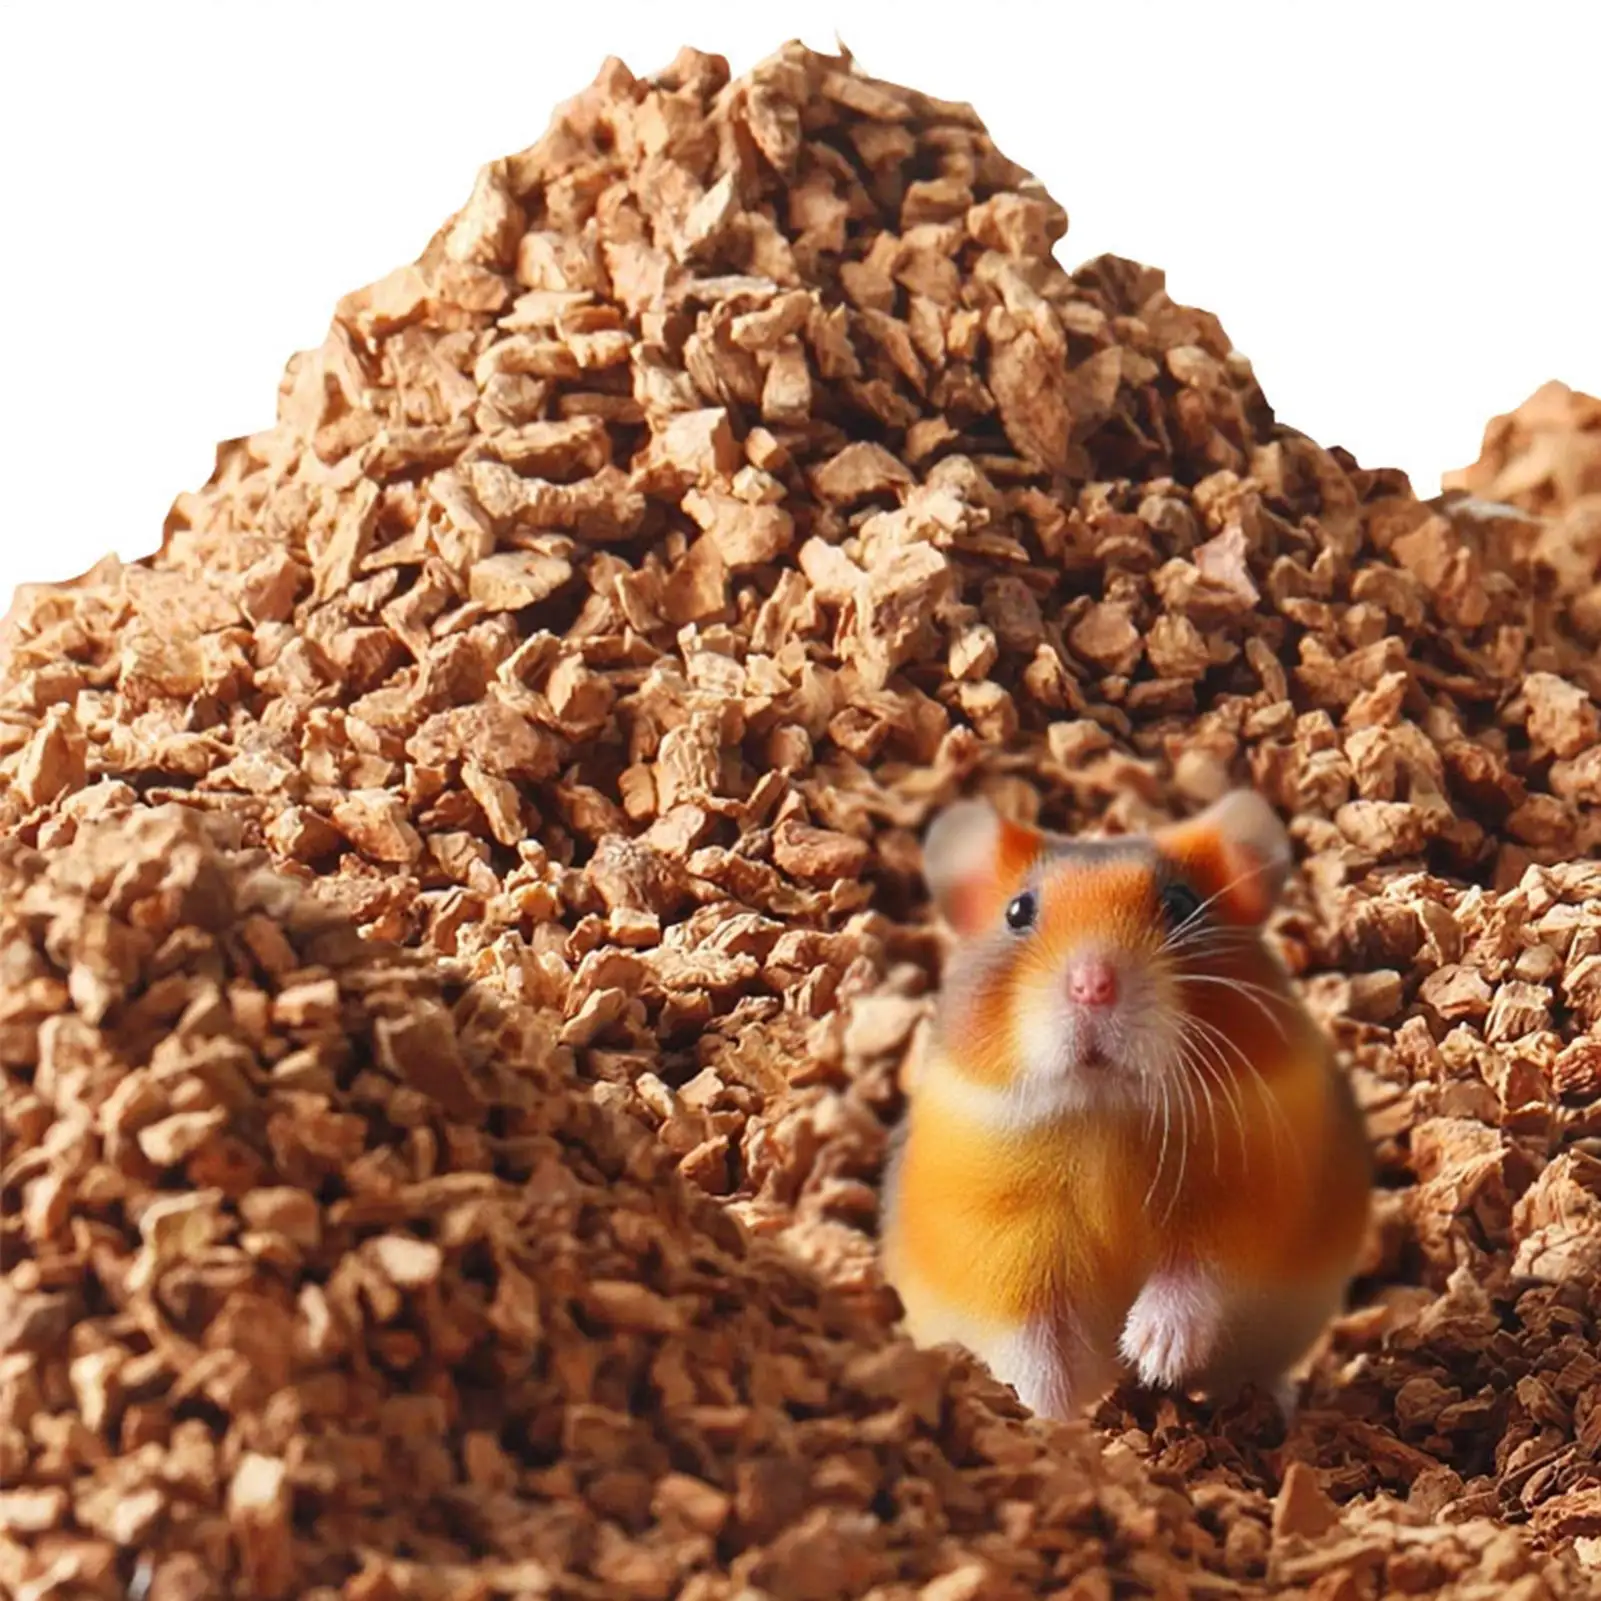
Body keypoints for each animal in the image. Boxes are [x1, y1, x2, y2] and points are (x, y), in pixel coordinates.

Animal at [879, 789, 1372, 1421]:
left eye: (1181, 902)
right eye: (1018, 911)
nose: (1092, 985)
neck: (1103, 1115)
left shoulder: (1250, 1207)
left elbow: (1198, 1276)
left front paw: (1150, 1355)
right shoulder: (995, 1241)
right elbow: (1030, 1342)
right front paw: (1055, 1418)